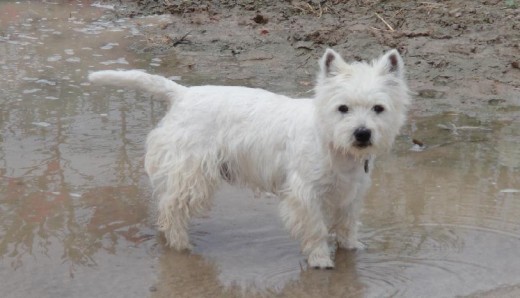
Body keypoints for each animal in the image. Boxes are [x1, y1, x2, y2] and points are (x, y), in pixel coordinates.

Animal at [90, 48, 414, 268]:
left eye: (378, 108)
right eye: (343, 108)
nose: (362, 133)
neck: (334, 146)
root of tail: (183, 94)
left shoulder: (350, 192)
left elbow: (346, 224)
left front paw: (351, 247)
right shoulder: (304, 193)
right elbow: (316, 228)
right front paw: (321, 259)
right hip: (192, 172)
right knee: (172, 208)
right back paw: (182, 245)